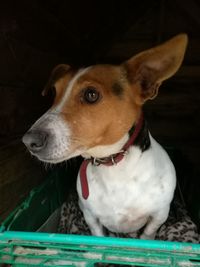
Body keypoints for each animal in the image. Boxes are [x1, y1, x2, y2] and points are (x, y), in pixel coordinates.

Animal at [22, 34, 188, 241]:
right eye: (54, 93)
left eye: (91, 94)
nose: (29, 141)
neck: (115, 166)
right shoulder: (91, 218)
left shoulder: (159, 215)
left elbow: (147, 235)